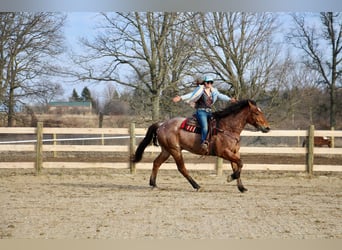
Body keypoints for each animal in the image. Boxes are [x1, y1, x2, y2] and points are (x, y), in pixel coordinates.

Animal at [132, 98, 272, 192]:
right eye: (257, 113)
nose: (267, 127)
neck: (227, 128)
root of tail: (162, 124)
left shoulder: (234, 152)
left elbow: (237, 166)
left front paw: (241, 187)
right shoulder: (224, 152)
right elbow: (240, 164)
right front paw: (230, 178)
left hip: (166, 150)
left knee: (156, 163)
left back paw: (153, 184)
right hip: (175, 150)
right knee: (181, 168)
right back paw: (196, 186)